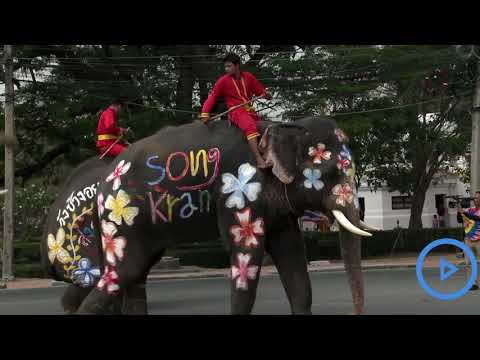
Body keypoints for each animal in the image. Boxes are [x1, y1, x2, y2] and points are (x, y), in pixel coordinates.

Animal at [56, 116, 374, 316]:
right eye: (332, 171)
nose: (352, 311)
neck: (279, 125)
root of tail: (106, 177)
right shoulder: (238, 191)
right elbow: (246, 255)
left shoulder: (277, 205)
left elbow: (292, 255)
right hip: (121, 217)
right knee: (125, 271)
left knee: (136, 274)